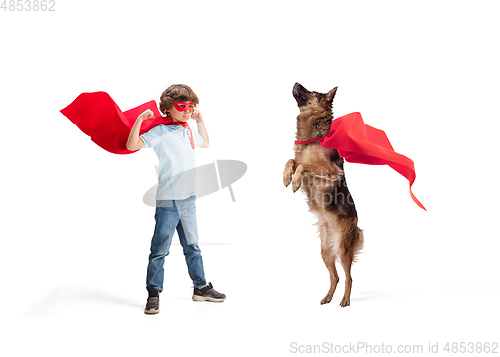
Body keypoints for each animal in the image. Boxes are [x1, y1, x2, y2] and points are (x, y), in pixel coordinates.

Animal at [286, 82, 364, 304]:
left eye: (313, 92)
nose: (295, 82)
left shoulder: (328, 171)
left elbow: (303, 166)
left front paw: (294, 183)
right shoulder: (301, 161)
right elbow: (292, 161)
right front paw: (286, 178)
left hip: (343, 251)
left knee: (348, 277)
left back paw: (345, 301)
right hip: (325, 252)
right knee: (335, 277)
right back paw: (327, 298)